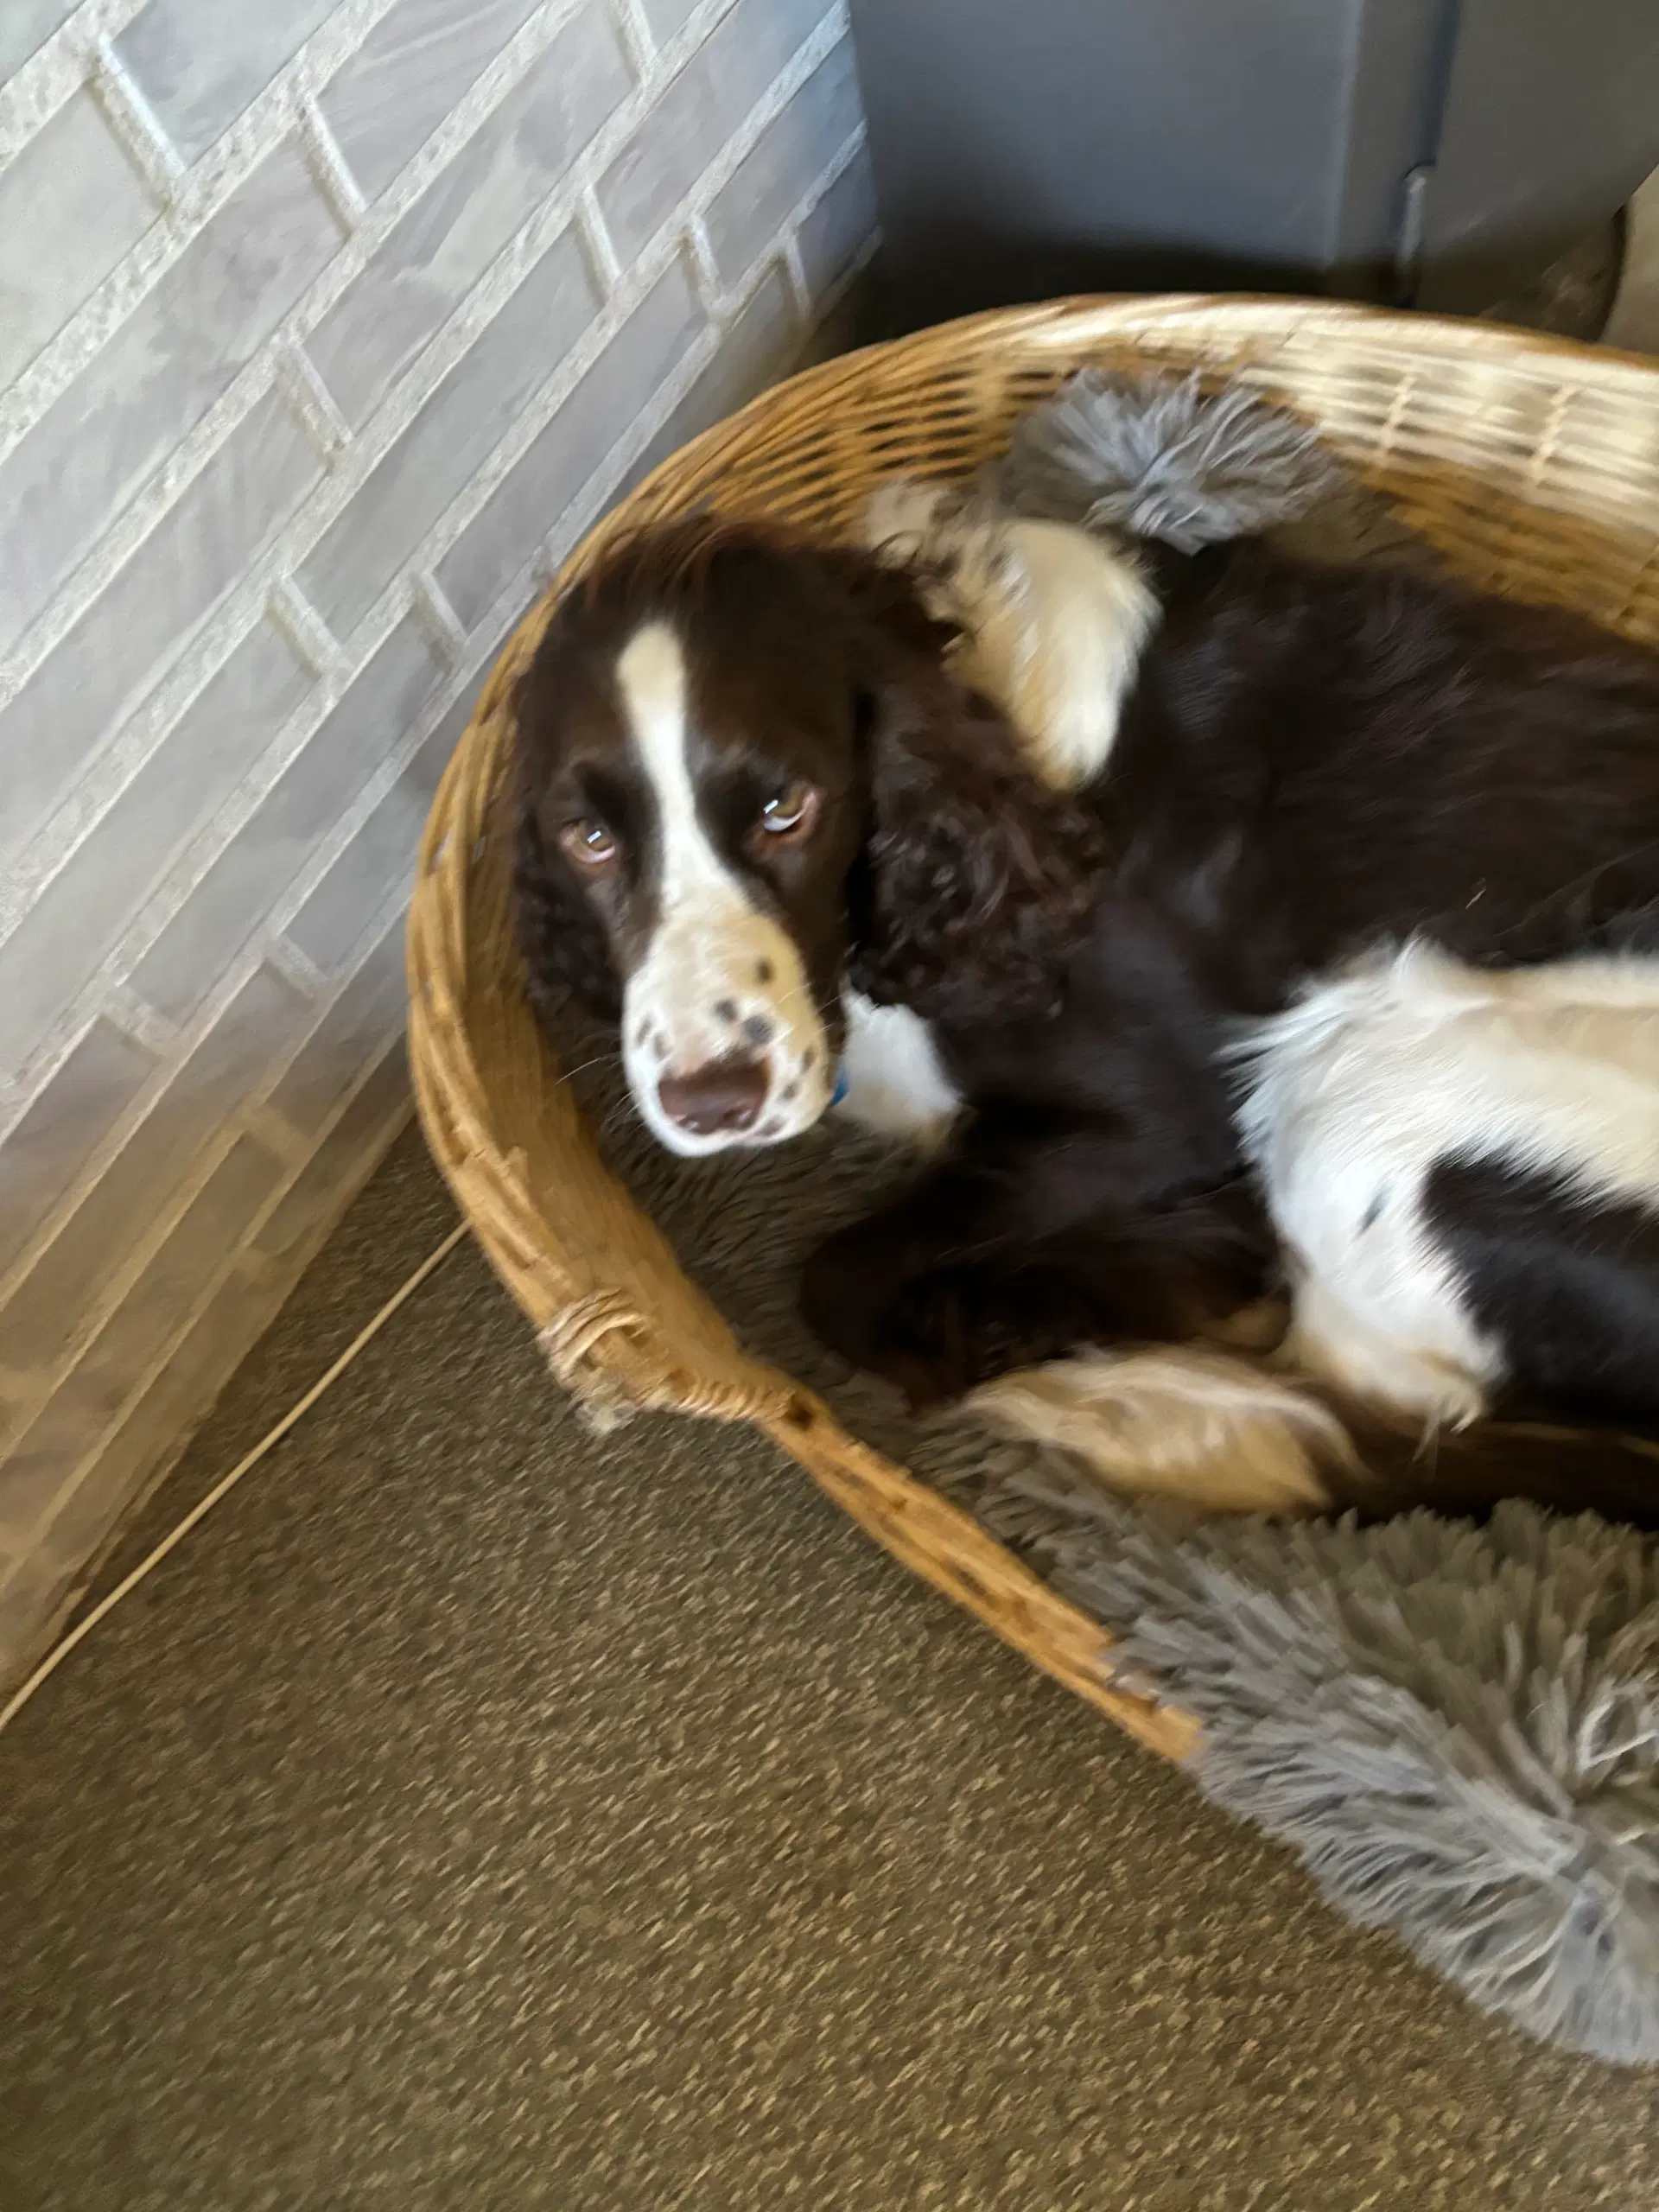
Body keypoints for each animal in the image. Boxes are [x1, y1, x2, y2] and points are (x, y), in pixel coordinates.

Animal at [512, 484, 1659, 1522]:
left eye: (787, 806)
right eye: (589, 837)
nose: (713, 1098)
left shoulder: (1162, 1120)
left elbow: (832, 1279)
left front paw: (977, 1328)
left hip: (1359, 1086)